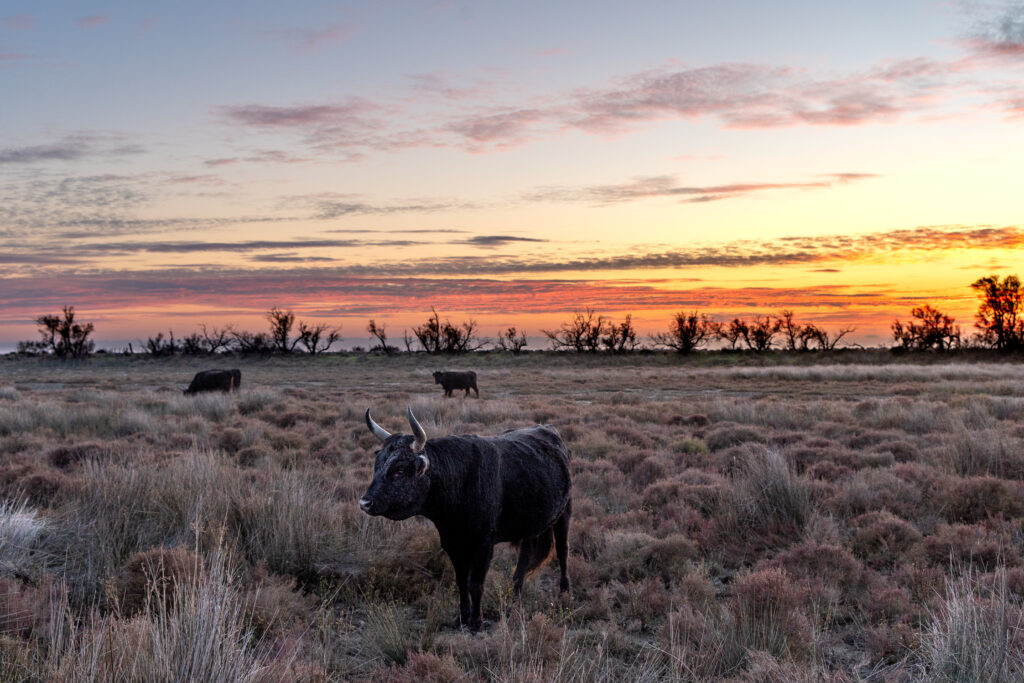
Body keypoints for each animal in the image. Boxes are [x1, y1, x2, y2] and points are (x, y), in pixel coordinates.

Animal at [360, 409, 573, 634]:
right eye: (377, 466)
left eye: (399, 470)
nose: (365, 502)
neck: (459, 480)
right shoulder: (452, 542)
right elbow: (461, 581)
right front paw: (462, 617)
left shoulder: (484, 544)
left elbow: (476, 584)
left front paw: (476, 622)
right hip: (529, 523)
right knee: (525, 556)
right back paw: (514, 596)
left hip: (565, 513)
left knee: (563, 550)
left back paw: (564, 592)